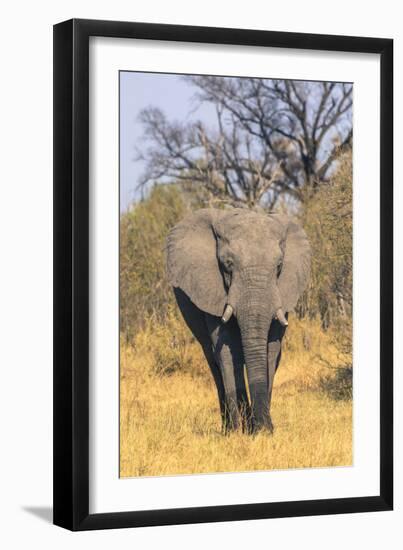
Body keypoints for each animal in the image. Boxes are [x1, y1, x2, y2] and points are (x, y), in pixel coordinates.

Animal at [166, 207, 310, 436]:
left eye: (279, 266)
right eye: (228, 265)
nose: (263, 428)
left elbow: (271, 349)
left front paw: (262, 431)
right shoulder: (213, 291)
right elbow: (226, 348)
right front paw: (237, 433)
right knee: (213, 361)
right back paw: (228, 428)